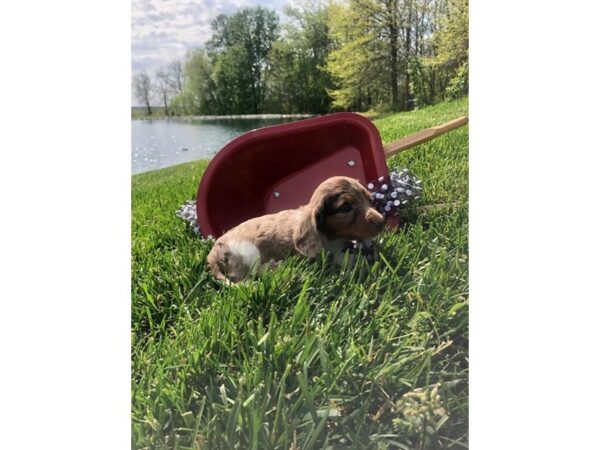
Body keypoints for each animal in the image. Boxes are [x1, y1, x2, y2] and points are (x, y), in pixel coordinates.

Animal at [206, 175, 384, 284]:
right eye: (346, 207)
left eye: (369, 200)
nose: (382, 222)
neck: (331, 237)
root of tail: (211, 256)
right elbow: (339, 258)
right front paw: (361, 259)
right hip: (248, 251)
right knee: (246, 276)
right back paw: (274, 267)